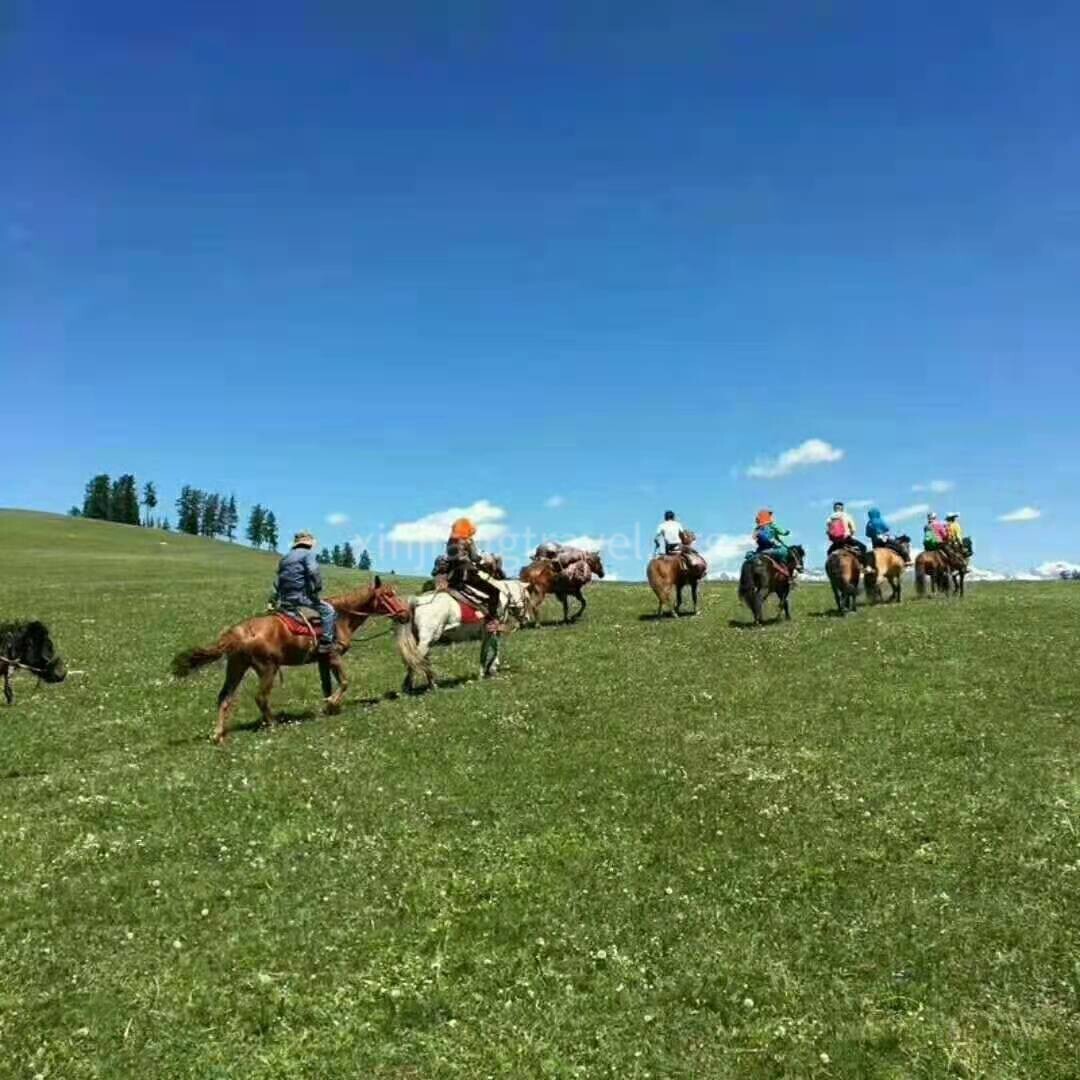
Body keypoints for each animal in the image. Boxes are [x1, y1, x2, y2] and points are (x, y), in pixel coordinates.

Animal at [172, 578, 410, 744]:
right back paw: (273, 724)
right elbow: (344, 682)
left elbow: (327, 685)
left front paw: (328, 707)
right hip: (267, 668)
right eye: (388, 594)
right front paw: (332, 704)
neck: (341, 617)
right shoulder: (333, 656)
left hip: (236, 668)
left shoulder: (323, 660)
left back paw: (218, 734)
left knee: (224, 698)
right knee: (260, 697)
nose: (406, 614)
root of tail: (237, 632)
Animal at [395, 578, 539, 692]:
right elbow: (491, 650)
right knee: (415, 660)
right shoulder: (491, 632)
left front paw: (488, 670)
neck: (500, 598)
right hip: (427, 640)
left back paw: (431, 685)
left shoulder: (488, 633)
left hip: (426, 641)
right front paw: (487, 671)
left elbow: (489, 650)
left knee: (421, 660)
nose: (527, 619)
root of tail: (418, 600)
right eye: (527, 598)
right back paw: (410, 687)